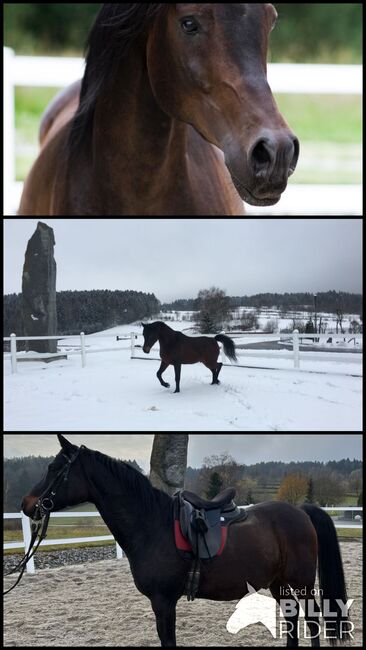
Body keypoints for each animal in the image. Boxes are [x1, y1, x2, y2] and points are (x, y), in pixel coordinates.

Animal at [20, 436, 352, 644]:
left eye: (54, 469)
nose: (27, 504)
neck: (152, 526)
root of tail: (301, 510)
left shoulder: (163, 601)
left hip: (301, 582)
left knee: (311, 620)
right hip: (277, 582)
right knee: (293, 619)